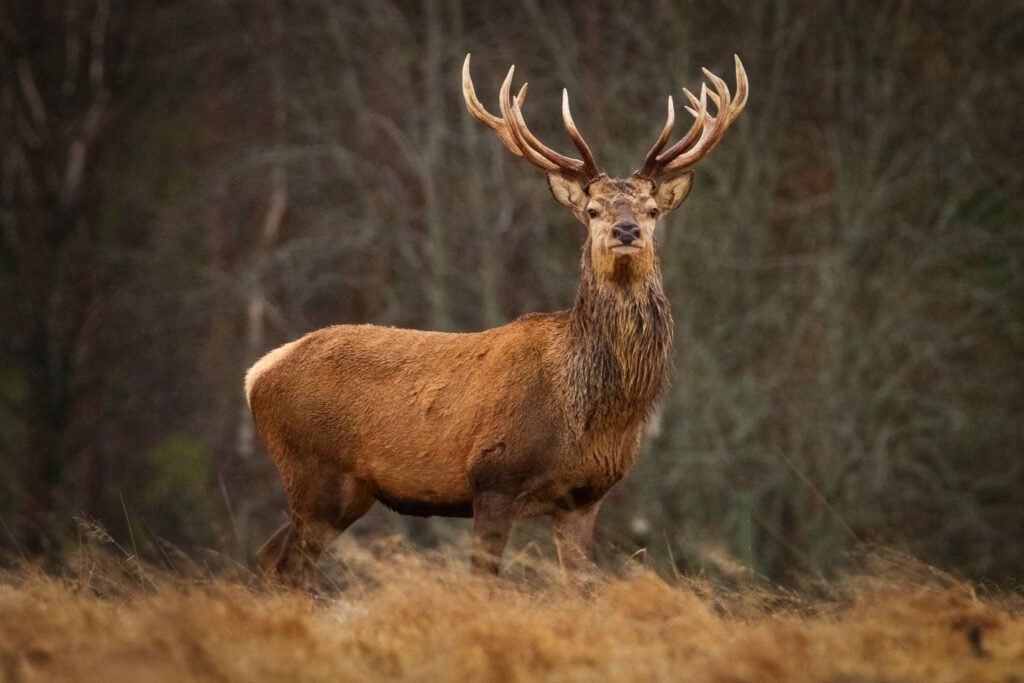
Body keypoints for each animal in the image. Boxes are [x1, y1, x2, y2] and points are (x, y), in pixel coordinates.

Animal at [243, 53, 749, 589]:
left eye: (652, 209)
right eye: (593, 210)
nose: (627, 229)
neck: (588, 412)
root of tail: (258, 373)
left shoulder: (584, 497)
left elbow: (584, 587)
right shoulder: (493, 477)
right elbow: (485, 581)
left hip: (346, 491)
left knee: (271, 557)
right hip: (312, 471)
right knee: (289, 565)